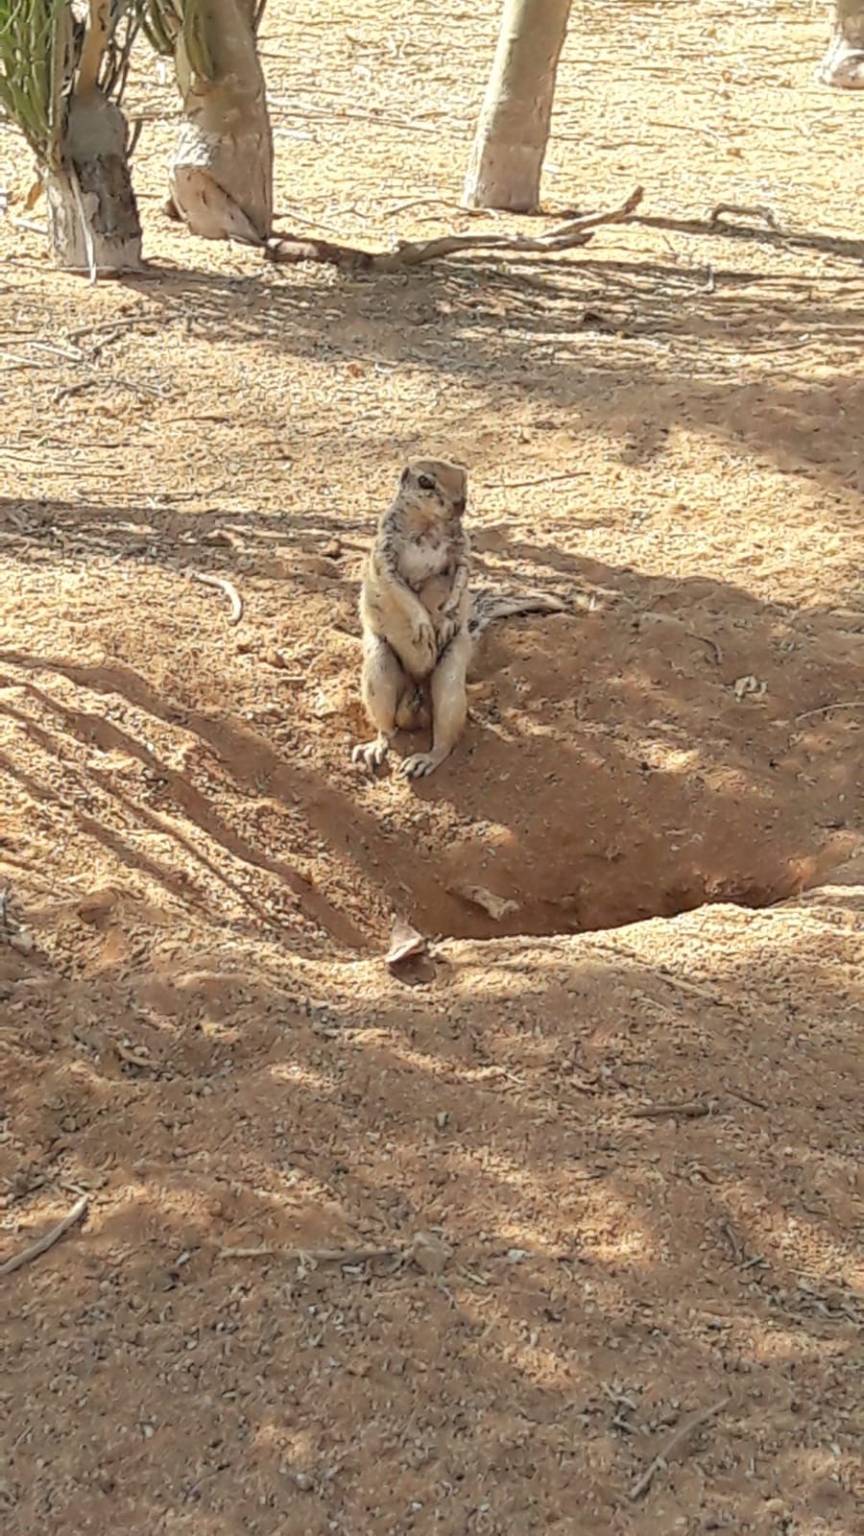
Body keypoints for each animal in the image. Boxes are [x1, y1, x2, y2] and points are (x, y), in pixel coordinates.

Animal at [352, 454, 565, 774]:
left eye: (464, 476)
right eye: (425, 481)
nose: (460, 504)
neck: (428, 525)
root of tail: (416, 702)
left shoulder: (462, 550)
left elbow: (461, 578)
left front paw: (446, 617)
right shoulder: (385, 553)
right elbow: (401, 591)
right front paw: (424, 624)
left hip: (450, 679)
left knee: (444, 739)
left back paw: (424, 760)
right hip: (379, 669)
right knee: (387, 729)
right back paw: (375, 748)